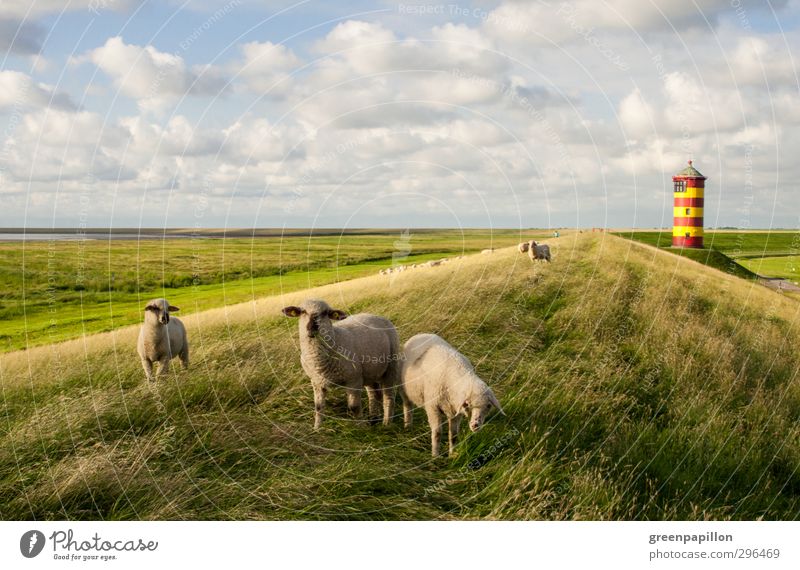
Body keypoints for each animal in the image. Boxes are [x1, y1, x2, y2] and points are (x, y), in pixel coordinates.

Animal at [284, 300, 404, 428]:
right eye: (303, 311)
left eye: (325, 313)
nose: (312, 328)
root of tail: (374, 315)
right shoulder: (317, 381)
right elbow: (318, 407)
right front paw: (317, 428)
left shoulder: (353, 380)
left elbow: (354, 407)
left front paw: (361, 428)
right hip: (368, 372)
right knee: (374, 394)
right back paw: (373, 418)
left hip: (391, 365)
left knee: (388, 396)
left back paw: (386, 423)